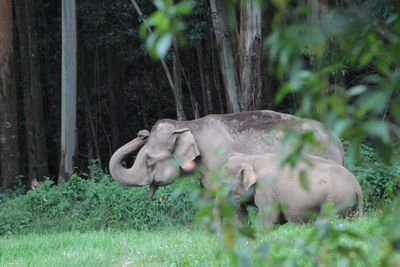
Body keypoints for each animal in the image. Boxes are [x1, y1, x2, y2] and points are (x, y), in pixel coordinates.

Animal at [223, 154, 364, 227]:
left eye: (224, 184)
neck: (250, 158)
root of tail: (357, 187)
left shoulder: (266, 190)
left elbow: (271, 220)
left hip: (335, 200)